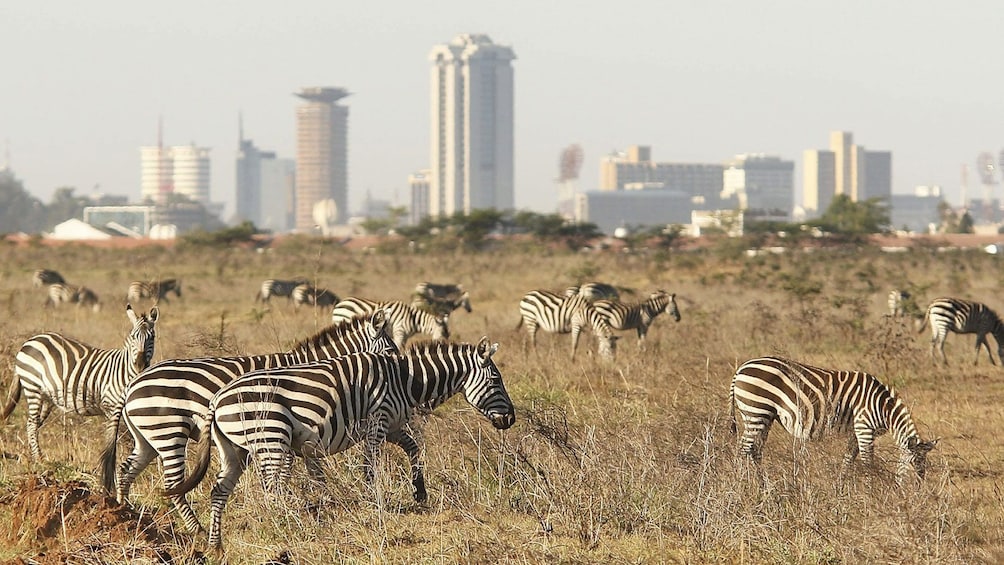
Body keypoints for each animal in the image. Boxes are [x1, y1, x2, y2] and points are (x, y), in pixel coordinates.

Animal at [2, 305, 158, 459]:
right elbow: (119, 436)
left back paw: (32, 454)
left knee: (35, 424)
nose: (140, 365)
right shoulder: (110, 407)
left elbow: (133, 437)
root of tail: (31, 339)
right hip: (32, 387)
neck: (124, 371)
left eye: (152, 337)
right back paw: (38, 459)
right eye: (133, 336)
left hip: (47, 397)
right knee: (31, 424)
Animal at [102, 309, 395, 533]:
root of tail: (132, 385)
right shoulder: (285, 427)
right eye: (392, 350)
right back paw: (196, 530)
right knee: (172, 485)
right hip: (168, 431)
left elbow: (311, 471)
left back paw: (126, 517)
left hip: (148, 437)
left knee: (126, 470)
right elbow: (286, 472)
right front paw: (286, 506)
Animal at [162, 339, 518, 545]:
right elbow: (370, 466)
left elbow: (414, 449)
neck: (404, 381)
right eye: (496, 379)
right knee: (272, 488)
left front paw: (419, 491)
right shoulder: (377, 422)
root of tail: (217, 399)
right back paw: (287, 525)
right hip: (271, 438)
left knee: (219, 490)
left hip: (233, 449)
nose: (511, 420)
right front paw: (374, 502)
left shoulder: (392, 425)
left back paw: (215, 542)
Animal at [726, 355, 935, 483]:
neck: (883, 407)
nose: (918, 491)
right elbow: (867, 462)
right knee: (743, 449)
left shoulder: (856, 431)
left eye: (924, 465)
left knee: (755, 450)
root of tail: (741, 368)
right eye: (915, 463)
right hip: (756, 410)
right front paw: (871, 489)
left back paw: (763, 484)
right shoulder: (864, 426)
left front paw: (840, 489)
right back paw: (740, 483)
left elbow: (848, 459)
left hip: (765, 416)